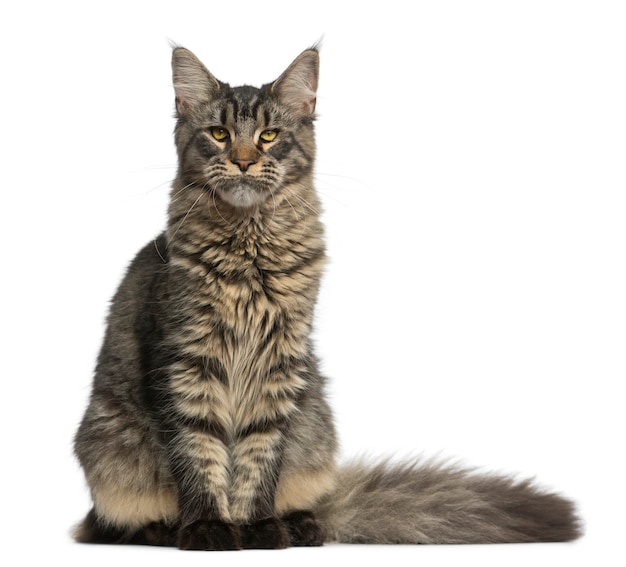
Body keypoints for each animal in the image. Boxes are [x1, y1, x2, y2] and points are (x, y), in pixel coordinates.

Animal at [73, 45, 580, 552]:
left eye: (269, 135)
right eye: (219, 134)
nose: (243, 160)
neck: (249, 249)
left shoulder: (278, 366)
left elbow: (259, 459)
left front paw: (257, 527)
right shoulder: (187, 362)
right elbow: (199, 455)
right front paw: (210, 529)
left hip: (314, 427)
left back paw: (300, 524)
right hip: (109, 445)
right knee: (107, 523)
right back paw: (163, 529)